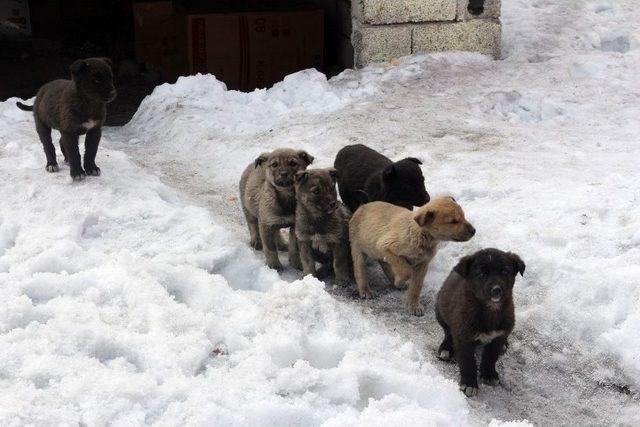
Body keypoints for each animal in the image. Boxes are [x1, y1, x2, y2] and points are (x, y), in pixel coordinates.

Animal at [436, 247, 524, 398]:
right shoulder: (463, 337)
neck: (490, 310)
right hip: (440, 310)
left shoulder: (498, 336)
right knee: (448, 332)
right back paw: (446, 348)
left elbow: (491, 356)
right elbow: (468, 361)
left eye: (505, 271)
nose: (496, 290)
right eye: (481, 274)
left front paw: (488, 374)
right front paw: (469, 384)